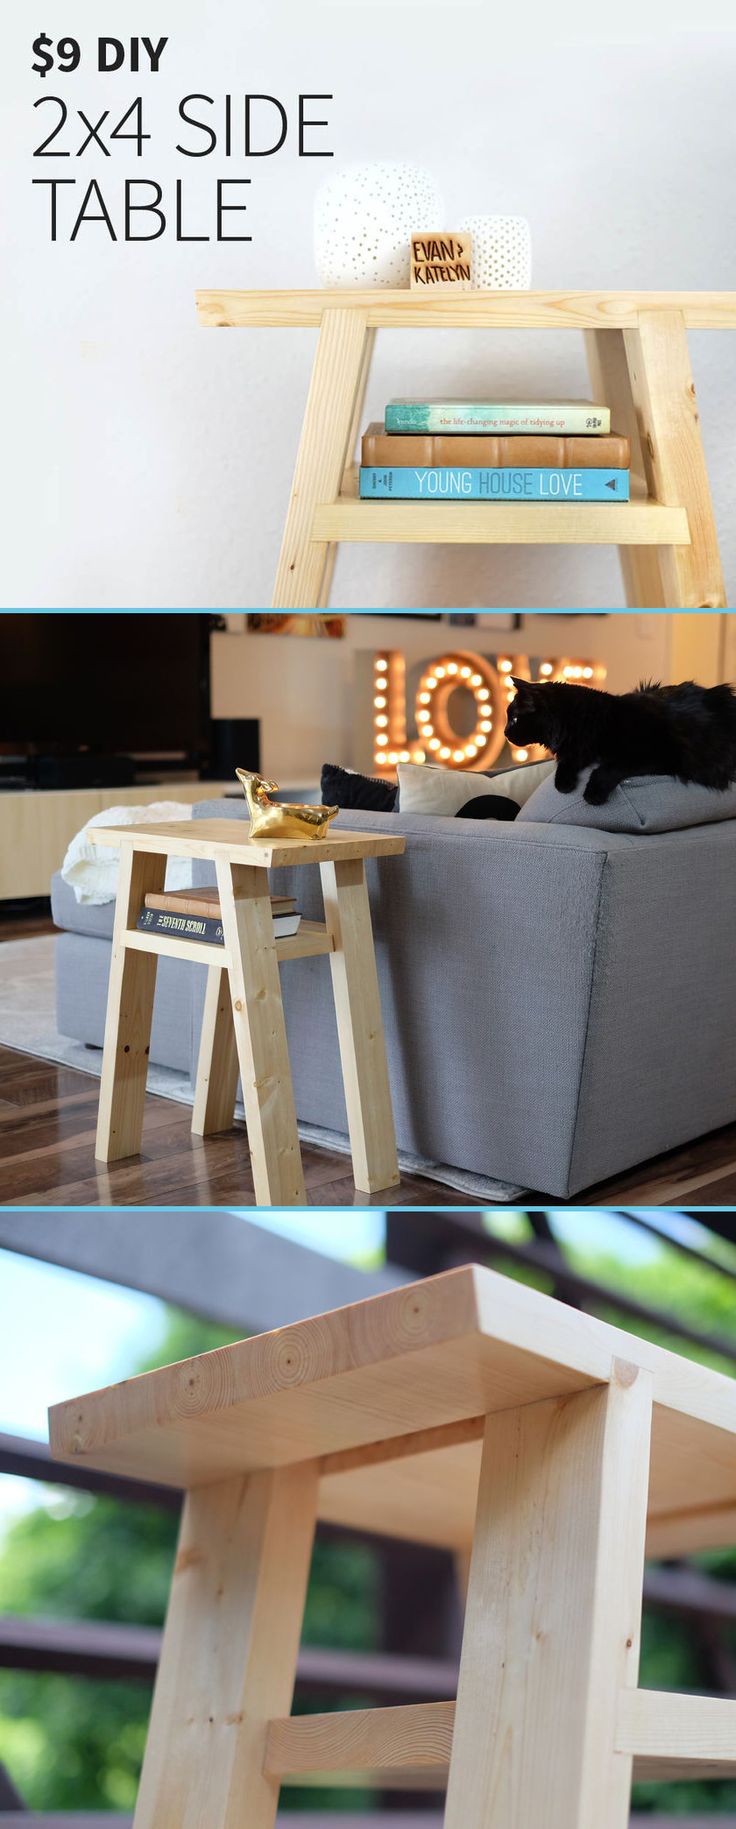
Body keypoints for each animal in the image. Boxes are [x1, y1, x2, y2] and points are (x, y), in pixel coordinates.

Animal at [505, 676, 736, 804]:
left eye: (514, 719)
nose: (505, 734)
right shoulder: (576, 749)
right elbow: (566, 764)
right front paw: (564, 783)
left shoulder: (654, 755)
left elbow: (608, 768)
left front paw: (593, 793)